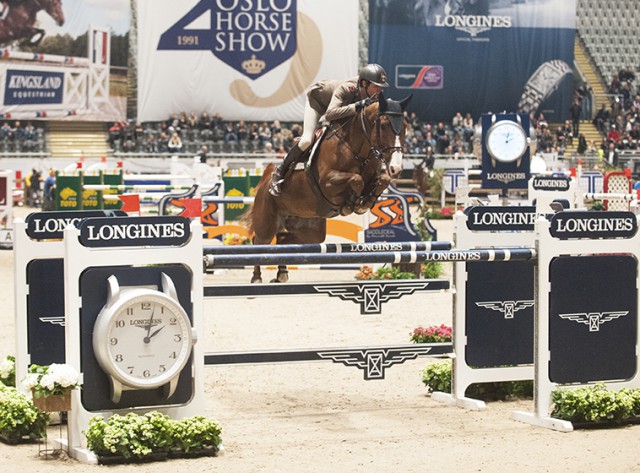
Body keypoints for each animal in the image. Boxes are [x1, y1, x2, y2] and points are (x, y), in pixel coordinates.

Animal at [242, 94, 412, 282]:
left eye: (405, 128)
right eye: (383, 125)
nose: (396, 168)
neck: (357, 149)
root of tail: (264, 183)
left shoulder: (375, 175)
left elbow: (383, 179)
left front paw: (365, 202)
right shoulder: (327, 182)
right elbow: (357, 179)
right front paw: (352, 204)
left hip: (309, 229)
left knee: (282, 239)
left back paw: (282, 274)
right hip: (267, 222)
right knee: (258, 243)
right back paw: (257, 277)